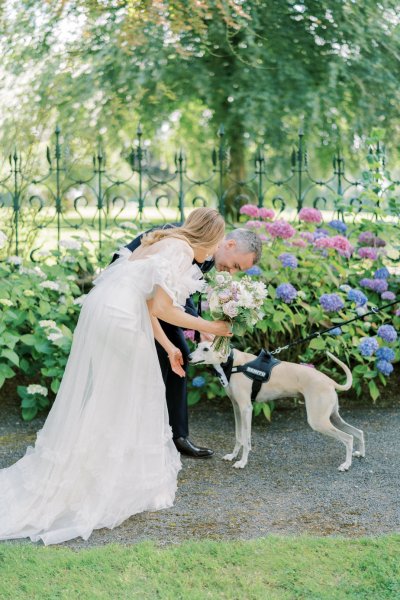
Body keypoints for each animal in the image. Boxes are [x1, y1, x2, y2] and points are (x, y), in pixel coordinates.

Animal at [188, 344, 366, 472]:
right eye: (197, 345)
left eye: (206, 349)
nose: (188, 357)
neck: (233, 364)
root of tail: (330, 381)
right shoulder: (237, 408)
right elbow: (239, 437)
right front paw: (233, 456)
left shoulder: (246, 409)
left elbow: (246, 440)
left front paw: (242, 462)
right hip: (333, 417)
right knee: (358, 432)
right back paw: (361, 453)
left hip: (318, 421)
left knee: (348, 438)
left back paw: (346, 465)